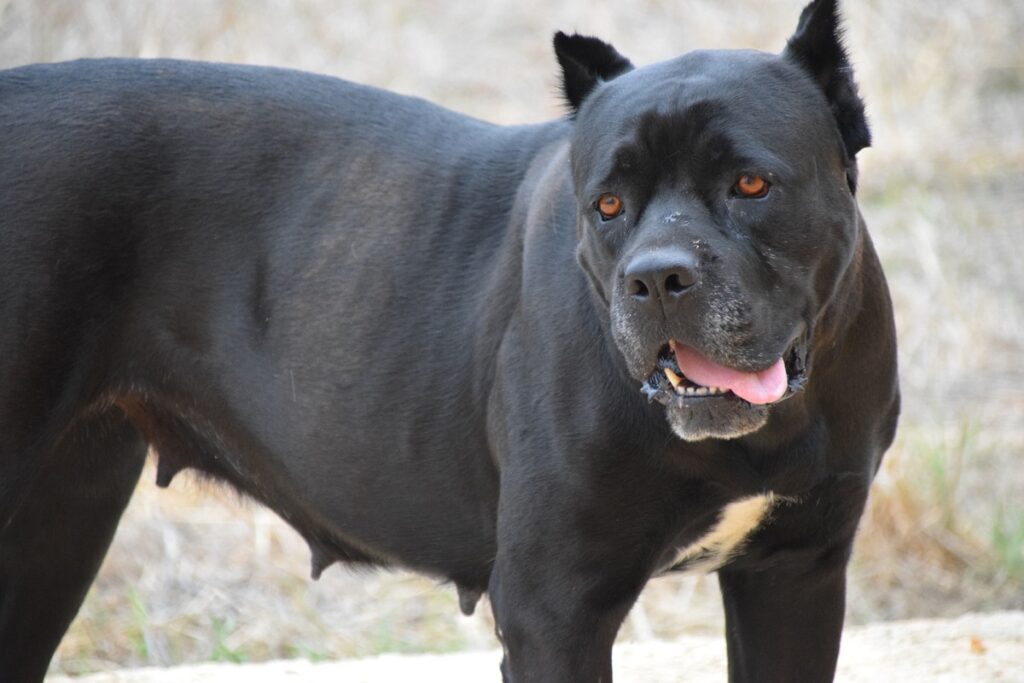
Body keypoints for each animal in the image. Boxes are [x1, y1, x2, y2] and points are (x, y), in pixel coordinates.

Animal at [0, 1, 897, 679]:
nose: (656, 277)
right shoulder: (554, 607)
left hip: (61, 515)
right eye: (608, 204)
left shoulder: (795, 575)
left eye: (751, 183)